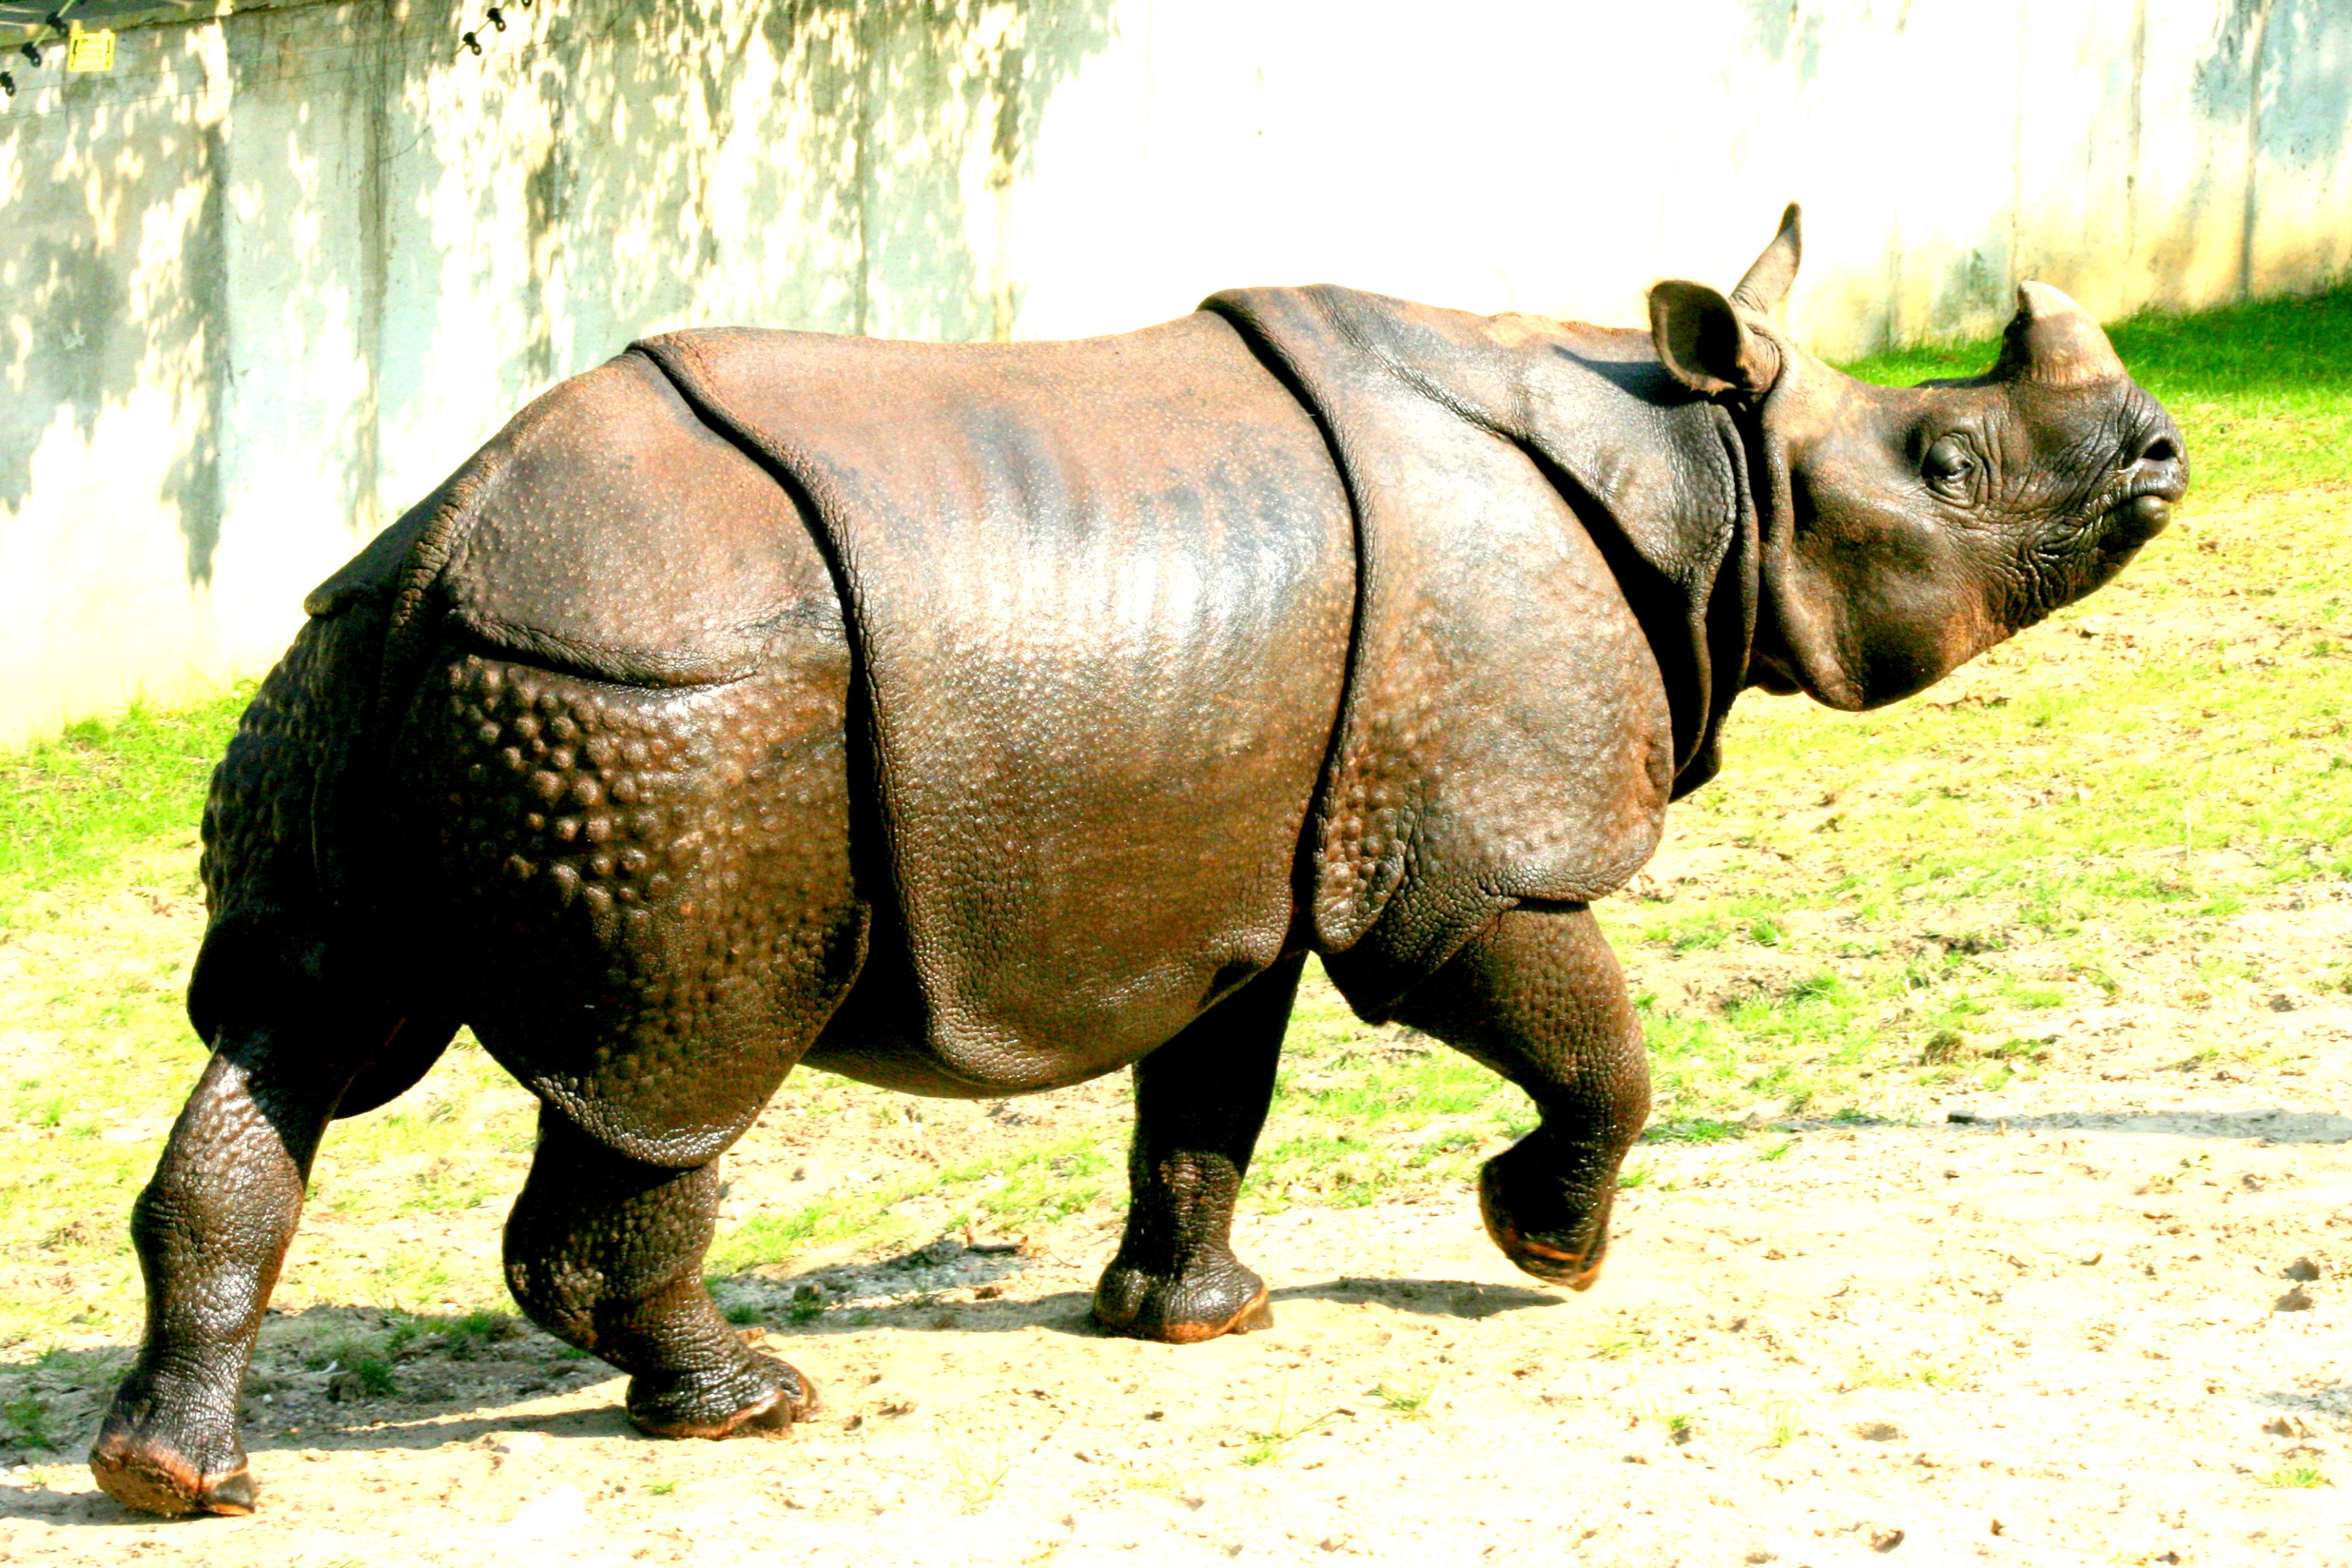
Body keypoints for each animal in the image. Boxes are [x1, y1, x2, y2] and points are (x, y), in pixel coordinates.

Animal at [92, 207, 2185, 1516]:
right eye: (1948, 467)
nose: (2166, 457)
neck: (1705, 479)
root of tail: (447, 553)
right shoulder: (1468, 850)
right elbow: (1593, 1037)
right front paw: (1545, 1250)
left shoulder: (1243, 866)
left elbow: (1207, 1094)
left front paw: (1196, 1321)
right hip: (672, 698)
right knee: (668, 1082)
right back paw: (749, 1408)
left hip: (374, 666)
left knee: (294, 1031)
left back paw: (172, 1481)